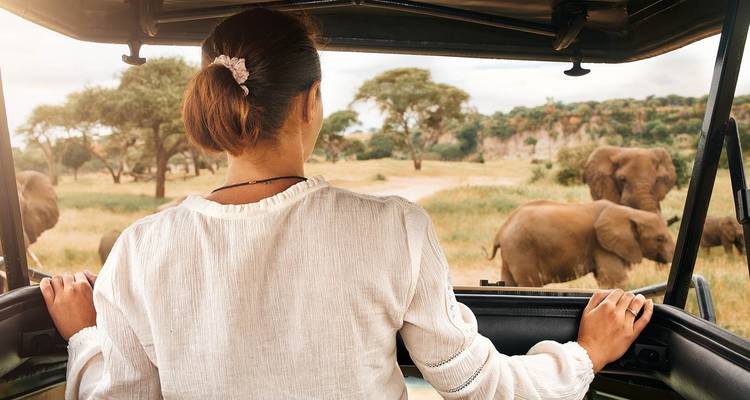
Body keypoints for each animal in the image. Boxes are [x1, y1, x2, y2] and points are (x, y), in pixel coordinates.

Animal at [484, 199, 675, 288]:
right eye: (660, 238)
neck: (631, 213)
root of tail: (501, 231)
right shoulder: (602, 245)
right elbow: (615, 280)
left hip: (512, 252)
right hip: (521, 249)